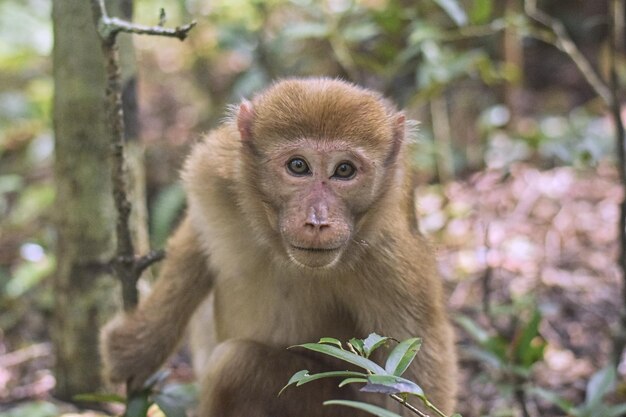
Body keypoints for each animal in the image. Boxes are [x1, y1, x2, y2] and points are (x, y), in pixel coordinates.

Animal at [100, 79, 456, 416]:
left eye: (344, 170)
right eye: (298, 166)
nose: (317, 221)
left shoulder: (389, 252)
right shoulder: (216, 168)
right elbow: (198, 235)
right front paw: (137, 346)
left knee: (238, 365)